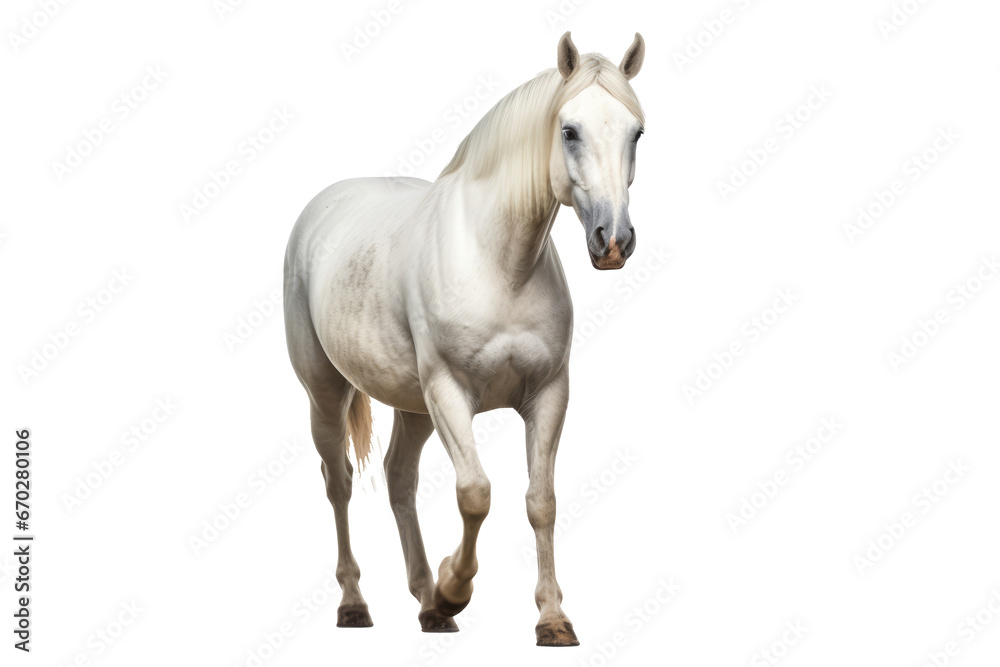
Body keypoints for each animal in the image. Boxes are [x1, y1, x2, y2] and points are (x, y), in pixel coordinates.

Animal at [283, 31, 645, 646]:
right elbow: (475, 493)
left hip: (413, 406)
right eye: (569, 130)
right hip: (328, 392)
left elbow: (541, 501)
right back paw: (358, 604)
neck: (499, 264)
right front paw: (457, 586)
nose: (613, 241)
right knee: (340, 483)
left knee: (399, 479)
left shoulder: (548, 394)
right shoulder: (450, 392)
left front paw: (552, 618)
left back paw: (427, 604)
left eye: (636, 133)